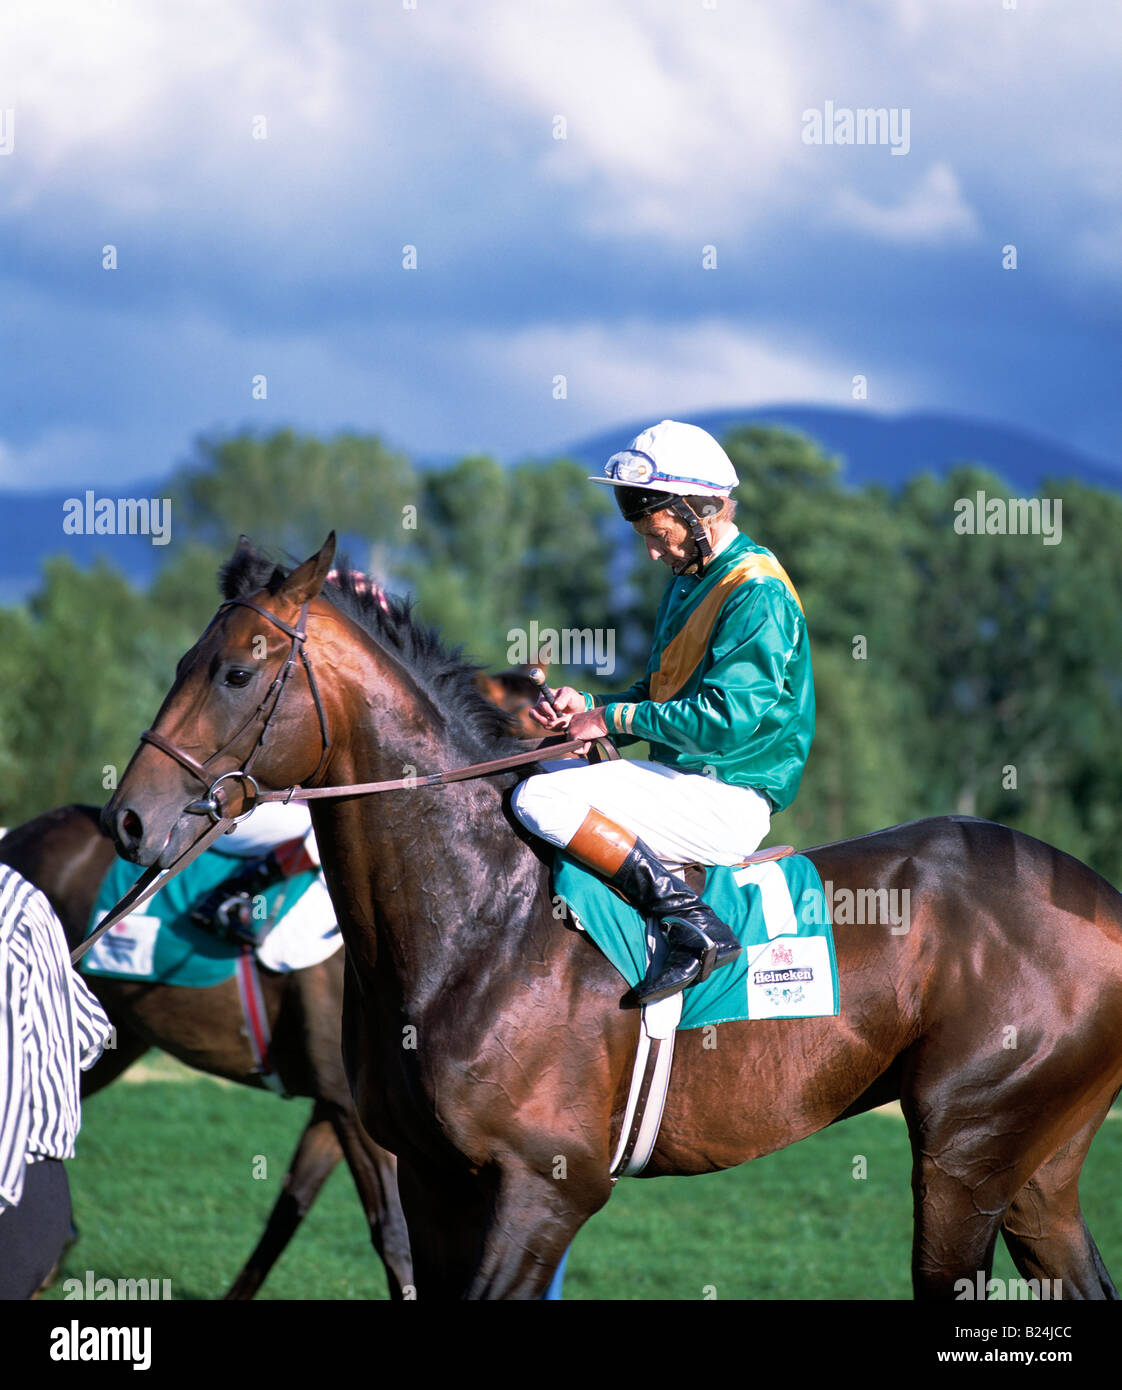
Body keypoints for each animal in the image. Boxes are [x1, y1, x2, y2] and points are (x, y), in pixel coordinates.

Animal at [101, 533, 1122, 1300]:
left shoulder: (545, 1189)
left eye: (237, 674)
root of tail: (1098, 896)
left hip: (963, 1152)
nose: (131, 818)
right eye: (187, 661)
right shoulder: (432, 1178)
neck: (479, 921)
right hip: (1034, 1170)